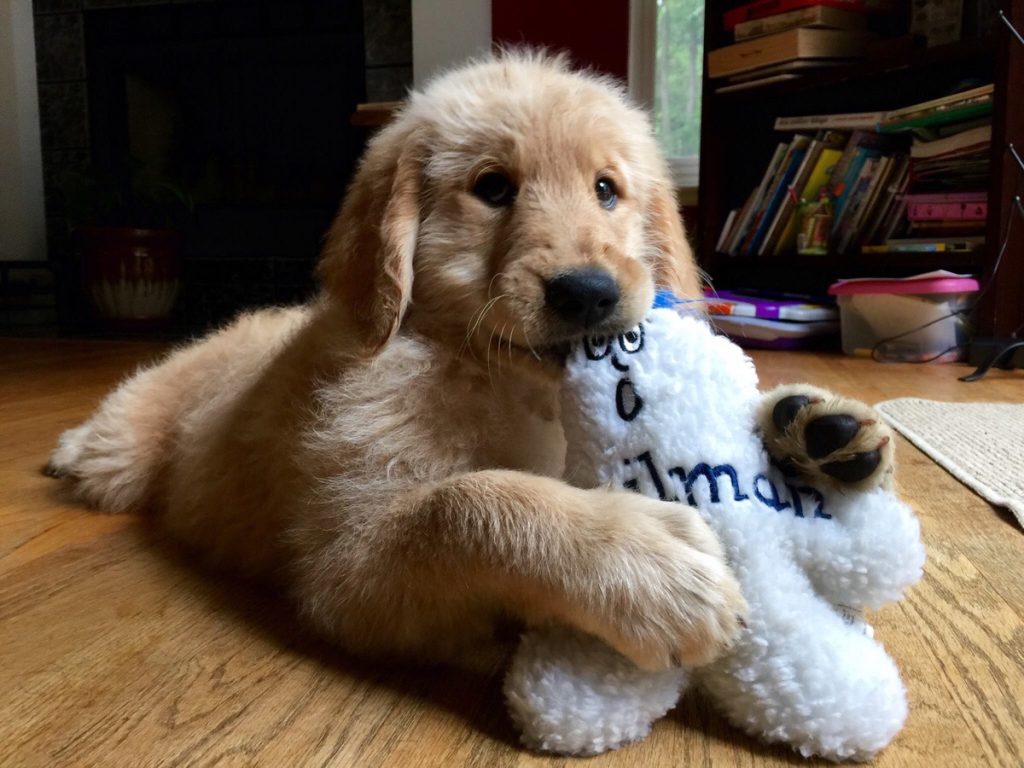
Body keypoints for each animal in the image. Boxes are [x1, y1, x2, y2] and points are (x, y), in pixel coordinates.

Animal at [46, 51, 745, 671]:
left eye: (606, 190)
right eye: (493, 188)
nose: (588, 293)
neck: (495, 377)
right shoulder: (345, 568)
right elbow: (471, 501)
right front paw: (649, 564)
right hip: (133, 444)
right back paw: (72, 449)